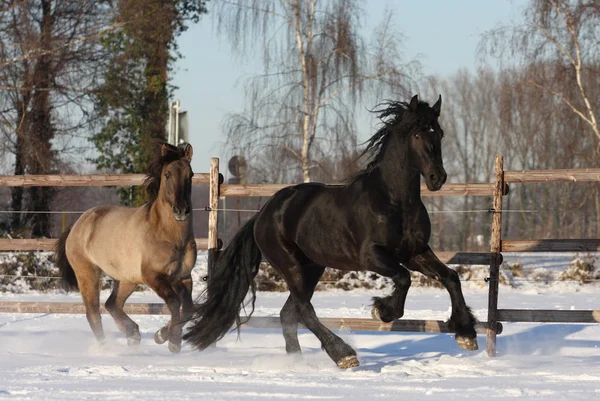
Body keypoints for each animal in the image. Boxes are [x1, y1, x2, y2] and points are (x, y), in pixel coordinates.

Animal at [183, 94, 478, 368]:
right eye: (417, 134)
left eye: (439, 132)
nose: (438, 178)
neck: (394, 201)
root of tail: (263, 214)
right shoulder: (372, 256)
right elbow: (404, 278)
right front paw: (382, 311)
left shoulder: (415, 252)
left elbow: (450, 277)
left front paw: (466, 334)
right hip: (290, 265)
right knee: (304, 310)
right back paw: (344, 355)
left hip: (312, 267)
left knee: (289, 314)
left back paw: (299, 361)